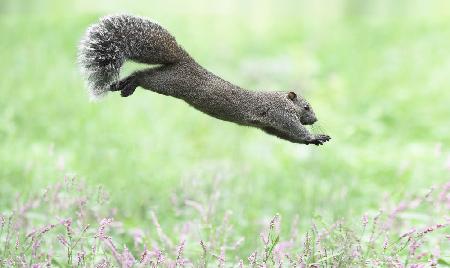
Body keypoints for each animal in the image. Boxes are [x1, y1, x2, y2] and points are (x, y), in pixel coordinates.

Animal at [77, 14, 330, 146]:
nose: (316, 119)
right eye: (306, 106)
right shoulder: (280, 114)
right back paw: (129, 84)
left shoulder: (270, 126)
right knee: (144, 76)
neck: (281, 99)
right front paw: (314, 136)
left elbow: (285, 136)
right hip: (170, 82)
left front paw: (312, 141)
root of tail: (184, 60)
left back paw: (123, 85)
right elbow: (294, 129)